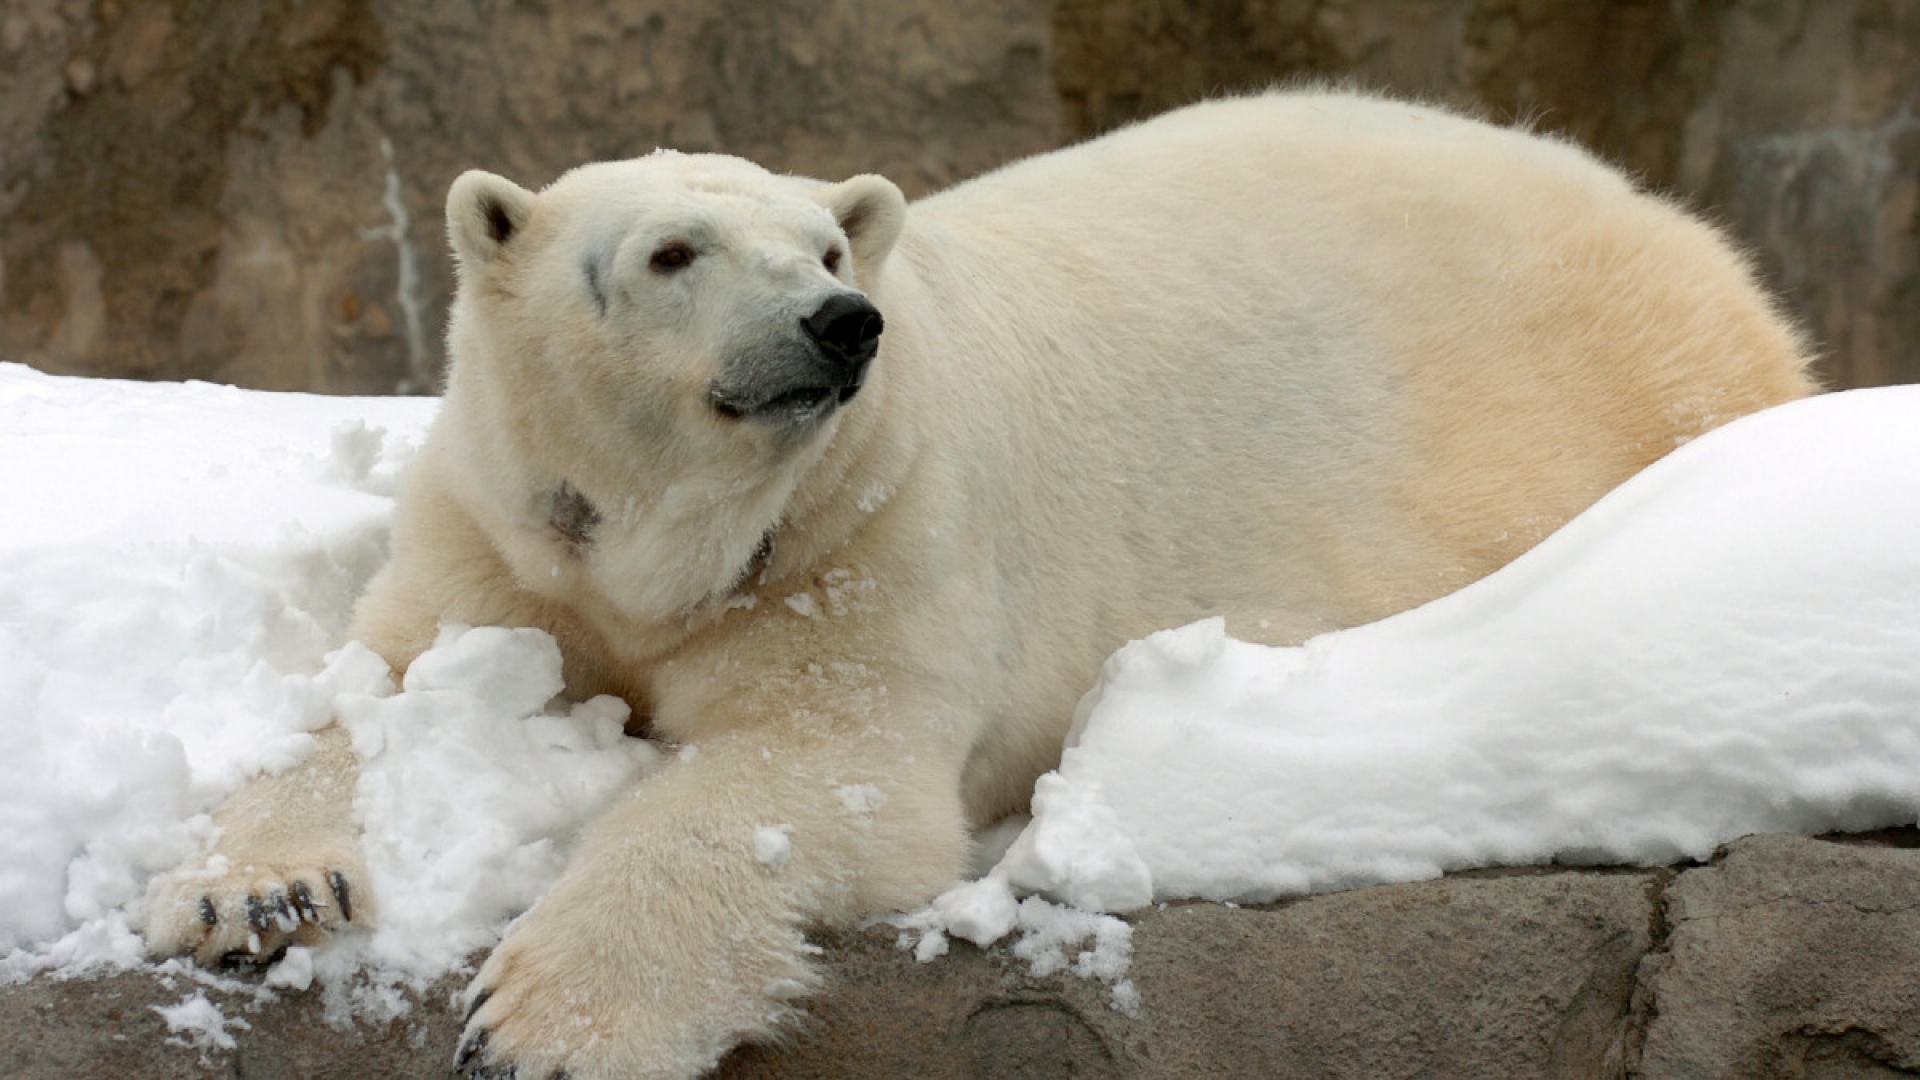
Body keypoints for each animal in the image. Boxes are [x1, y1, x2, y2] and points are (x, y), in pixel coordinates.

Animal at [143, 89, 1815, 1078]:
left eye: (824, 246)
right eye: (674, 252)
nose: (840, 324)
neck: (669, 536)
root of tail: (1677, 225)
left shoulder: (866, 530)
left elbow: (812, 778)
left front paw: (546, 1023)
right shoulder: (506, 523)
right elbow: (380, 690)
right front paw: (251, 894)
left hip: (1633, 387)